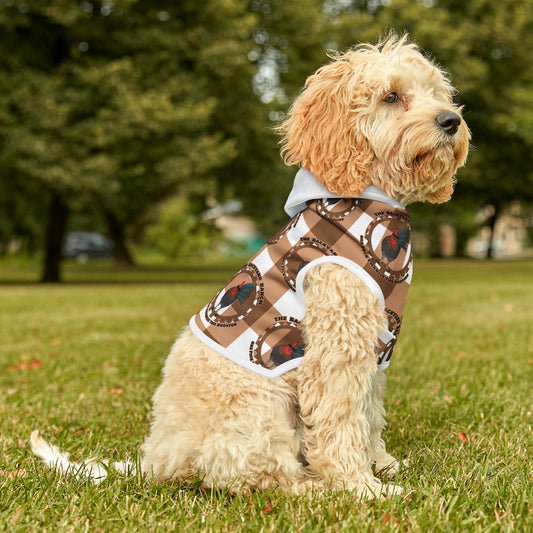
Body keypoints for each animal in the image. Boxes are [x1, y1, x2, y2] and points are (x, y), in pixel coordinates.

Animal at [31, 35, 468, 496]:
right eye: (391, 96)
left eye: (436, 93)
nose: (451, 120)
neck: (365, 201)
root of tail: (157, 460)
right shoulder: (337, 346)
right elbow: (341, 419)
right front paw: (361, 487)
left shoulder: (374, 346)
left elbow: (369, 414)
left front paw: (382, 464)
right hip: (260, 407)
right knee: (259, 476)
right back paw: (313, 487)